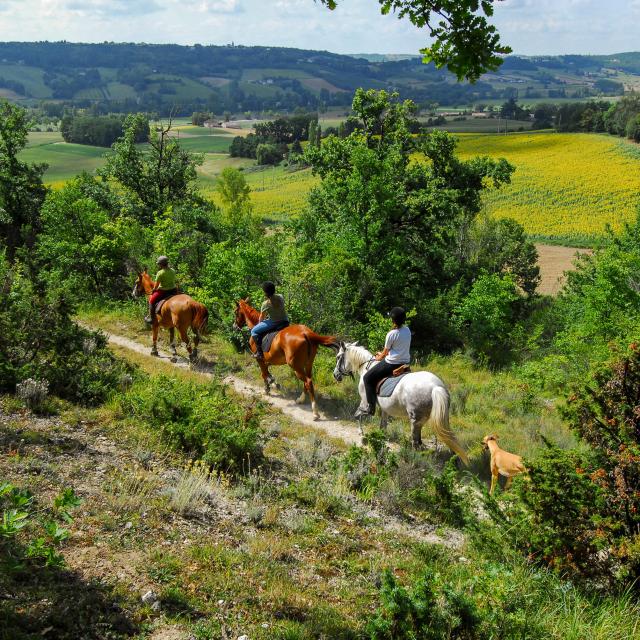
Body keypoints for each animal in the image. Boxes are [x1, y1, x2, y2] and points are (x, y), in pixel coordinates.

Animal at [332, 342, 468, 462]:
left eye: (338, 357)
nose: (335, 375)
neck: (366, 367)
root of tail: (435, 386)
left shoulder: (364, 402)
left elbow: (357, 415)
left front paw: (361, 435)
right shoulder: (384, 409)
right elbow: (383, 426)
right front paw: (381, 439)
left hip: (415, 420)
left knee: (415, 441)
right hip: (430, 418)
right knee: (439, 437)